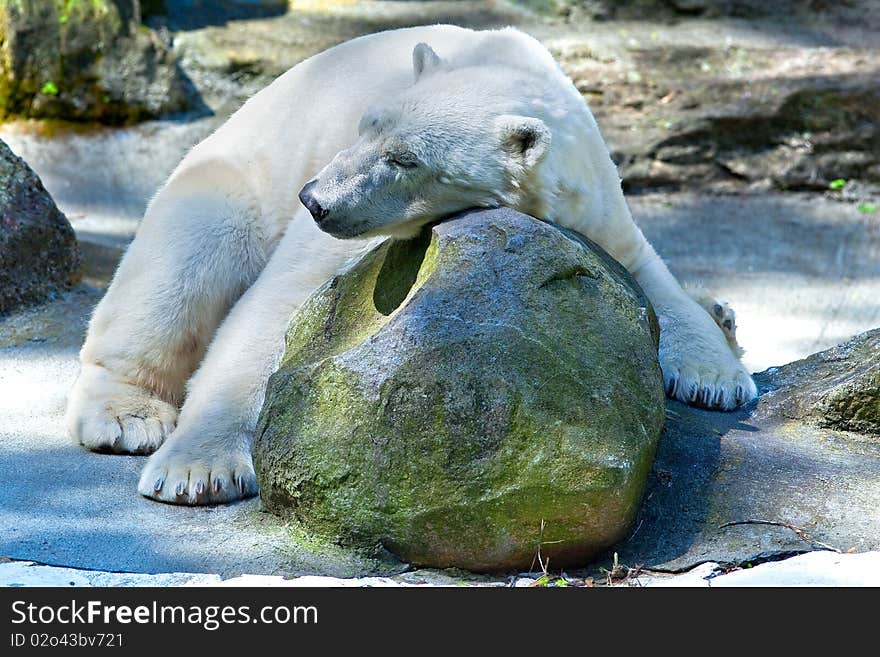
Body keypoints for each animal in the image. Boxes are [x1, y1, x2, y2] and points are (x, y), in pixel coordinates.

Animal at [67, 23, 756, 504]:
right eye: (366, 123)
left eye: (405, 157)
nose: (315, 199)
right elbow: (275, 307)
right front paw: (198, 470)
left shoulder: (595, 203)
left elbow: (650, 273)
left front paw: (718, 378)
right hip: (233, 176)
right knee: (184, 264)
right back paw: (126, 417)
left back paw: (724, 315)